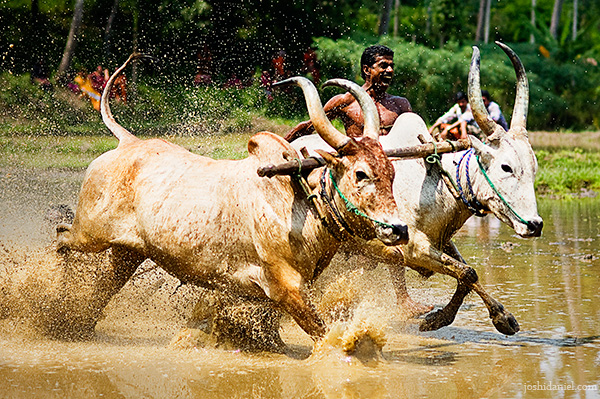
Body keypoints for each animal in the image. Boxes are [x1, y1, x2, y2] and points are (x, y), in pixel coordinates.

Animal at [55, 54, 408, 346]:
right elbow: (324, 334)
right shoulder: (287, 286)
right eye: (361, 173)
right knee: (61, 237)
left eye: (391, 172)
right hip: (90, 234)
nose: (400, 229)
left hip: (128, 252)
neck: (303, 200)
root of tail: (127, 142)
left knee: (102, 286)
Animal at [292, 42, 544, 336]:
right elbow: (466, 272)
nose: (535, 225)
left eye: (534, 167)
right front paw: (439, 319)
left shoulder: (441, 240)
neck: (437, 185)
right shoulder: (415, 248)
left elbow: (468, 273)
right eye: (506, 167)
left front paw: (502, 317)